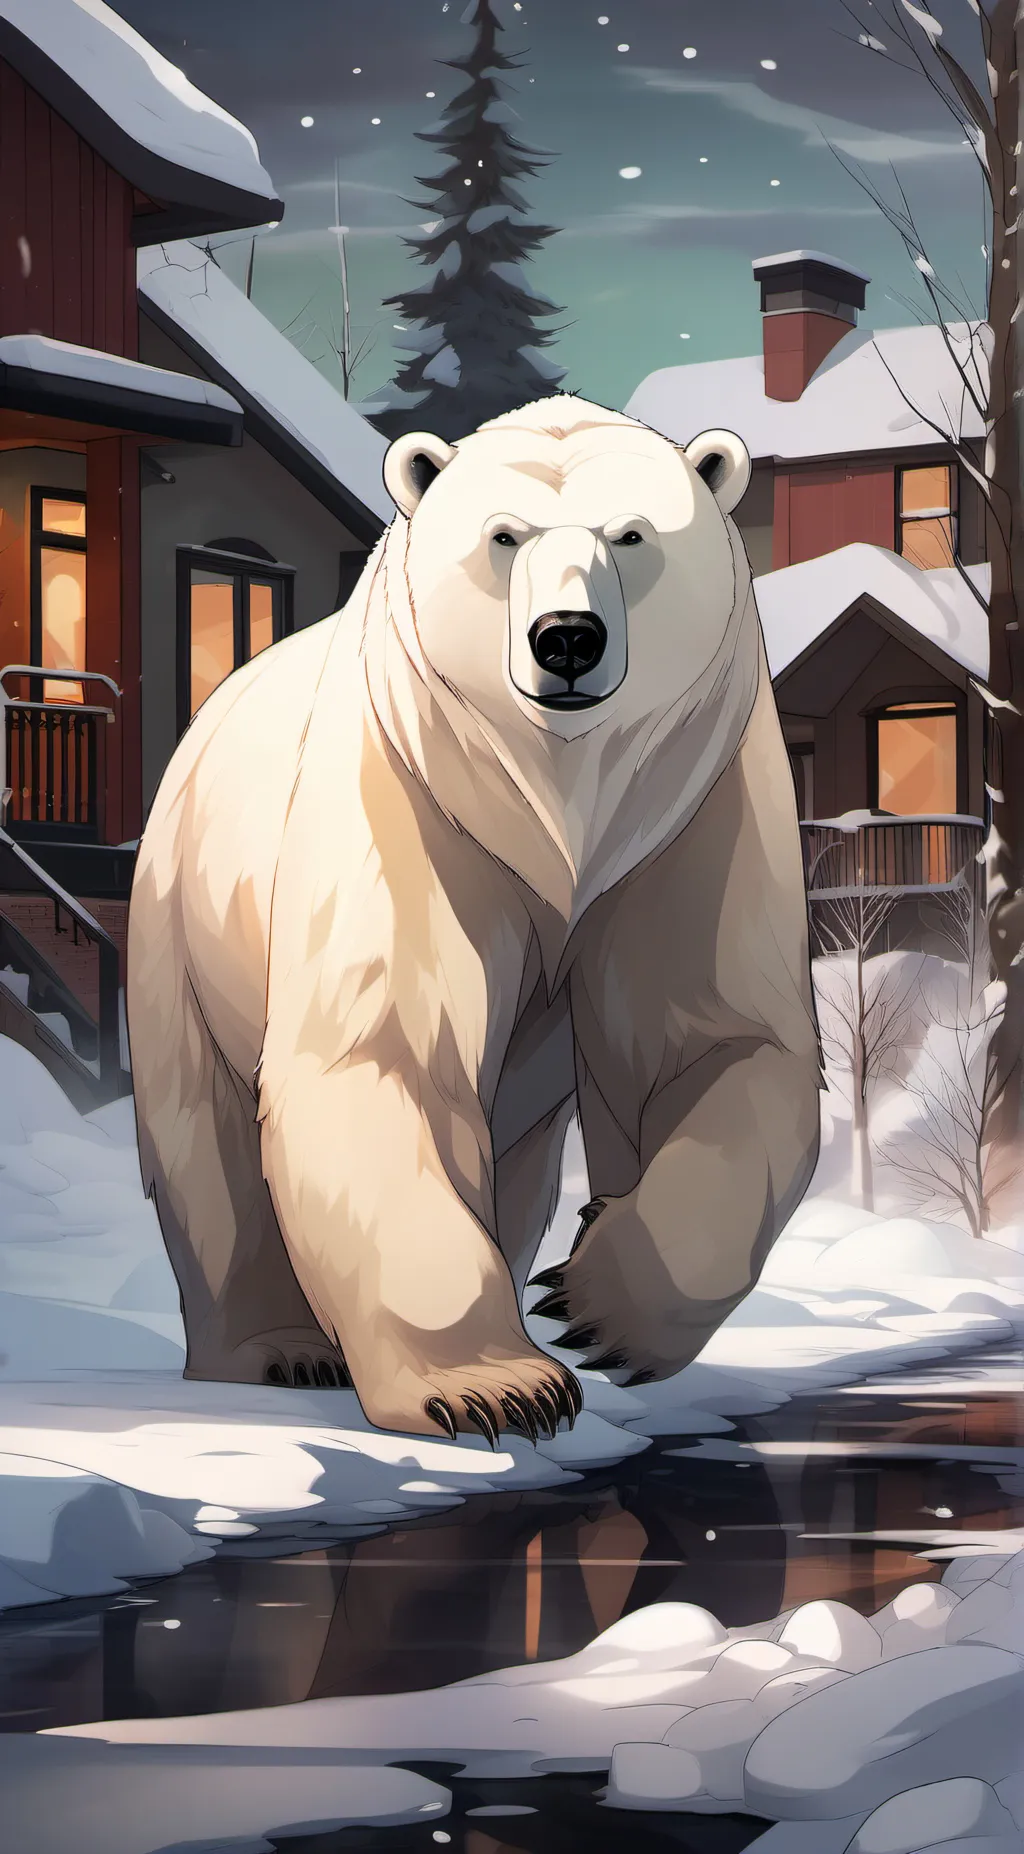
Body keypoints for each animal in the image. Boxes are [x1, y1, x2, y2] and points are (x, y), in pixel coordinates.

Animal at [126, 394, 822, 1444]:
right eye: (504, 536)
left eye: (633, 534)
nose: (567, 637)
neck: (559, 798)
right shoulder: (415, 792)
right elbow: (386, 1050)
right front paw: (496, 1387)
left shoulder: (687, 806)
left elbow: (720, 1043)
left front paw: (595, 1305)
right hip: (183, 919)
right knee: (204, 1142)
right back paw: (277, 1350)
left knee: (517, 1153)